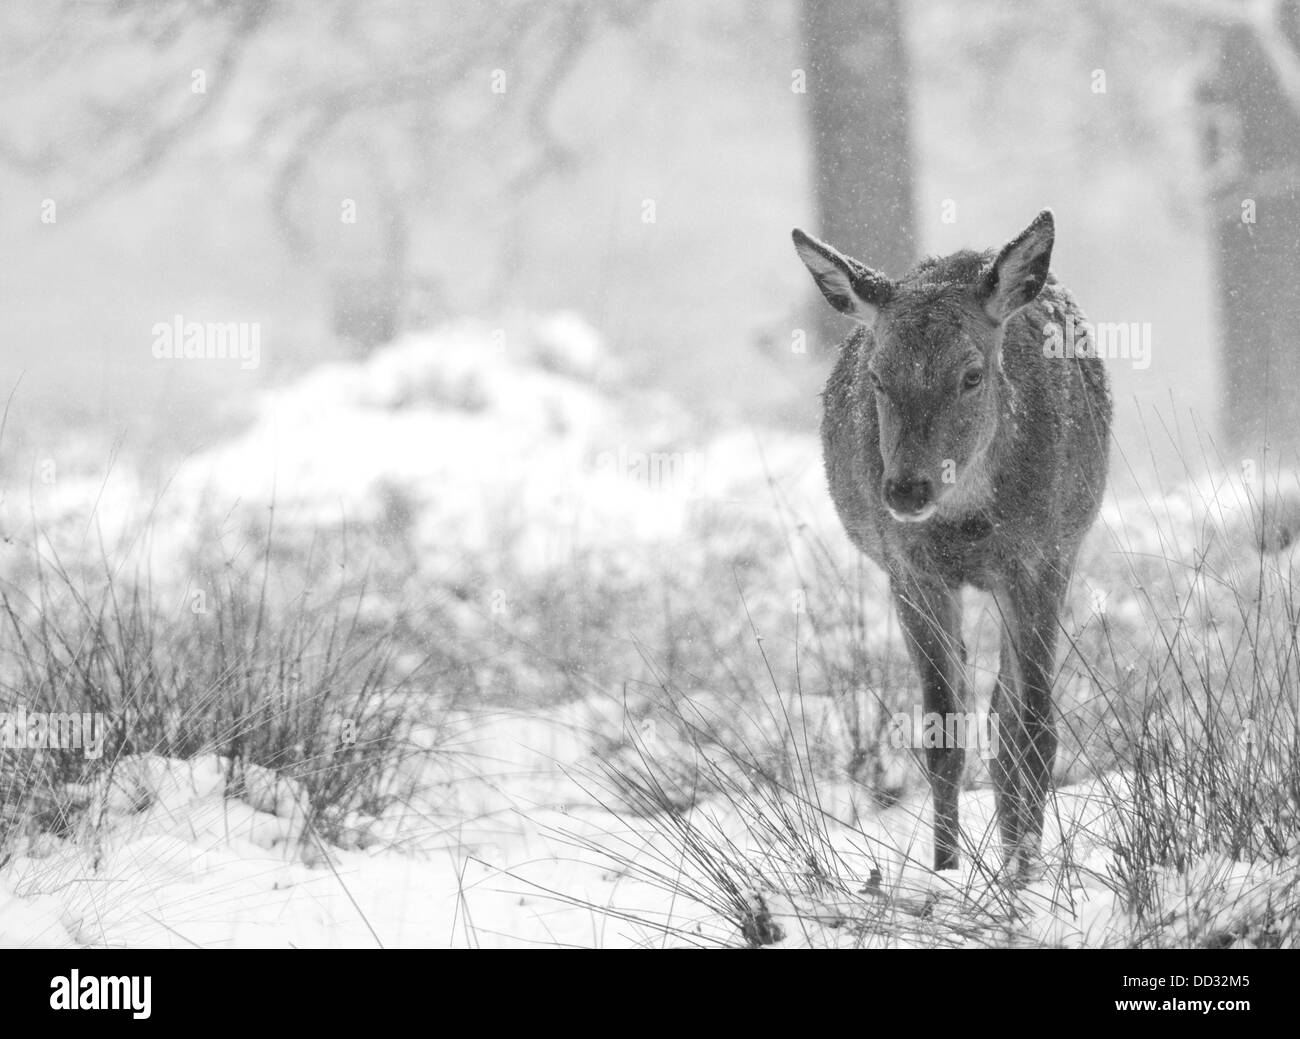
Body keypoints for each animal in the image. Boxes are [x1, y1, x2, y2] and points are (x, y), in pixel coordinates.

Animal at [790, 210, 1107, 879]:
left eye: (971, 374)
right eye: (878, 376)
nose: (906, 488)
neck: (969, 524)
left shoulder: (1040, 558)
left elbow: (1036, 728)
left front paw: (1025, 878)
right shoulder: (910, 569)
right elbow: (942, 733)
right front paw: (945, 870)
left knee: (1010, 719)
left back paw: (1019, 853)